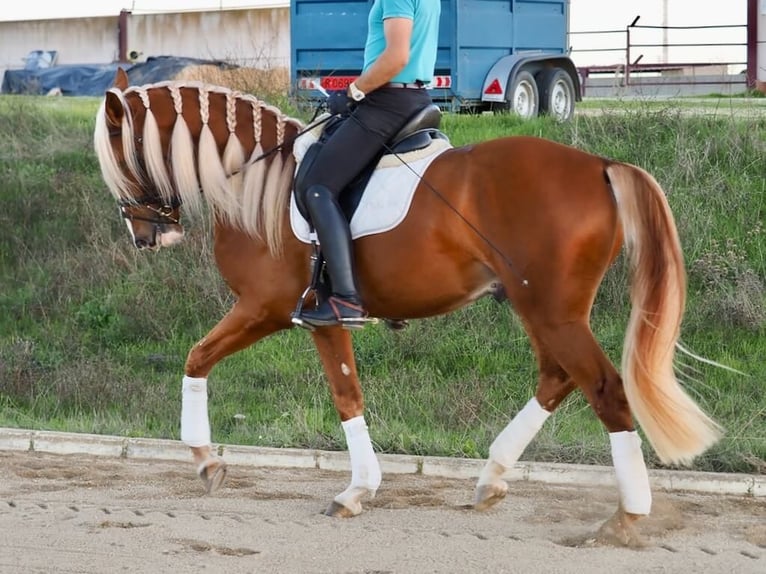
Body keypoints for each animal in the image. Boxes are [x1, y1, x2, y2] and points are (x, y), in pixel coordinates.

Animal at [93, 70, 724, 548]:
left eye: (120, 156)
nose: (145, 235)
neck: (256, 182)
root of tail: (598, 164)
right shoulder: (312, 316)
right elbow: (344, 393)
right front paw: (357, 488)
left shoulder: (268, 307)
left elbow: (203, 359)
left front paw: (207, 460)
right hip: (540, 307)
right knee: (558, 377)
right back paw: (492, 477)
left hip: (551, 310)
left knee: (604, 390)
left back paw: (627, 516)